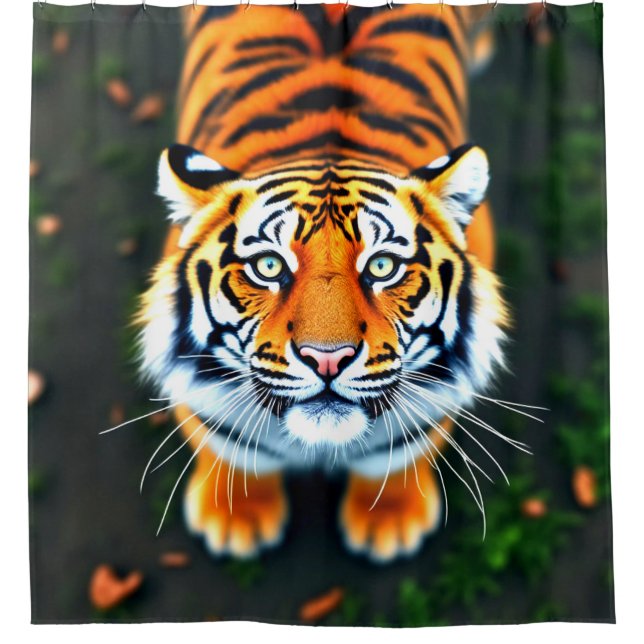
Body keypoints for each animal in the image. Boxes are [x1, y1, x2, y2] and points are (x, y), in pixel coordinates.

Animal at [135, 3, 508, 563]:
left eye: (382, 267)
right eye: (269, 267)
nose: (327, 359)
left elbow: (401, 449)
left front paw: (388, 522)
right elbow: (228, 444)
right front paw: (236, 519)